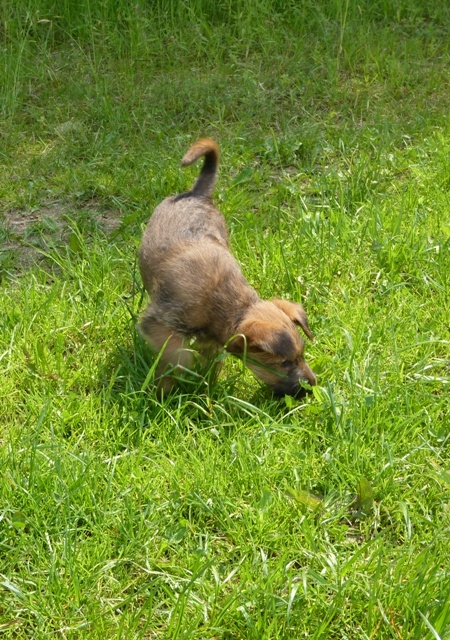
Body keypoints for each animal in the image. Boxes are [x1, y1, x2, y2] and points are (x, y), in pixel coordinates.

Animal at [138, 138, 316, 397]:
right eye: (283, 362)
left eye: (301, 354)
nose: (313, 385)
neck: (229, 304)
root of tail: (197, 194)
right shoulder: (157, 323)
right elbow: (178, 355)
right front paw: (177, 381)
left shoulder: (210, 340)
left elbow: (207, 359)